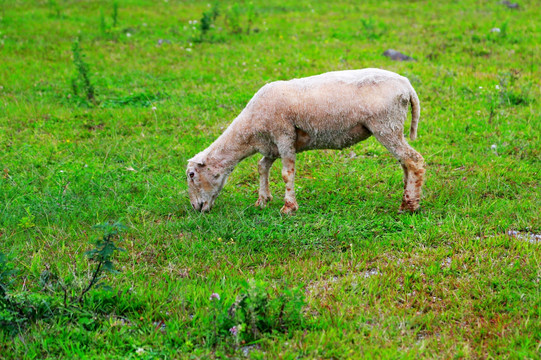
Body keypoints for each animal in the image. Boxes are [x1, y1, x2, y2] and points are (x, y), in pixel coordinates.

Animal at [188, 68, 424, 214]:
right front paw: (262, 200)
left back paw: (409, 206)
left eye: (191, 175)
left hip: (386, 125)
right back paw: (407, 196)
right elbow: (262, 166)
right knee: (405, 162)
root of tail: (407, 86)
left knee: (414, 161)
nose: (196, 208)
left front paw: (288, 208)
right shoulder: (271, 146)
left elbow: (286, 173)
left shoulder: (283, 135)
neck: (250, 130)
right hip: (393, 127)